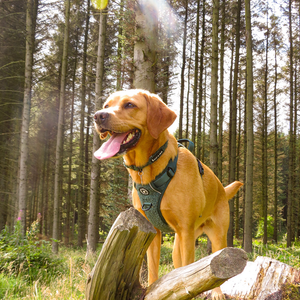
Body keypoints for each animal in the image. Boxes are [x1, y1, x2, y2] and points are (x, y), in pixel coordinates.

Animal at [94, 88, 244, 298]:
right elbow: (153, 269)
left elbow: (190, 272)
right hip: (176, 245)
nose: (98, 116)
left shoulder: (186, 231)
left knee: (215, 268)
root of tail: (222, 188)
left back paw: (216, 293)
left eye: (130, 105)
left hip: (217, 236)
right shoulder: (152, 231)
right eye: (106, 105)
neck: (149, 172)